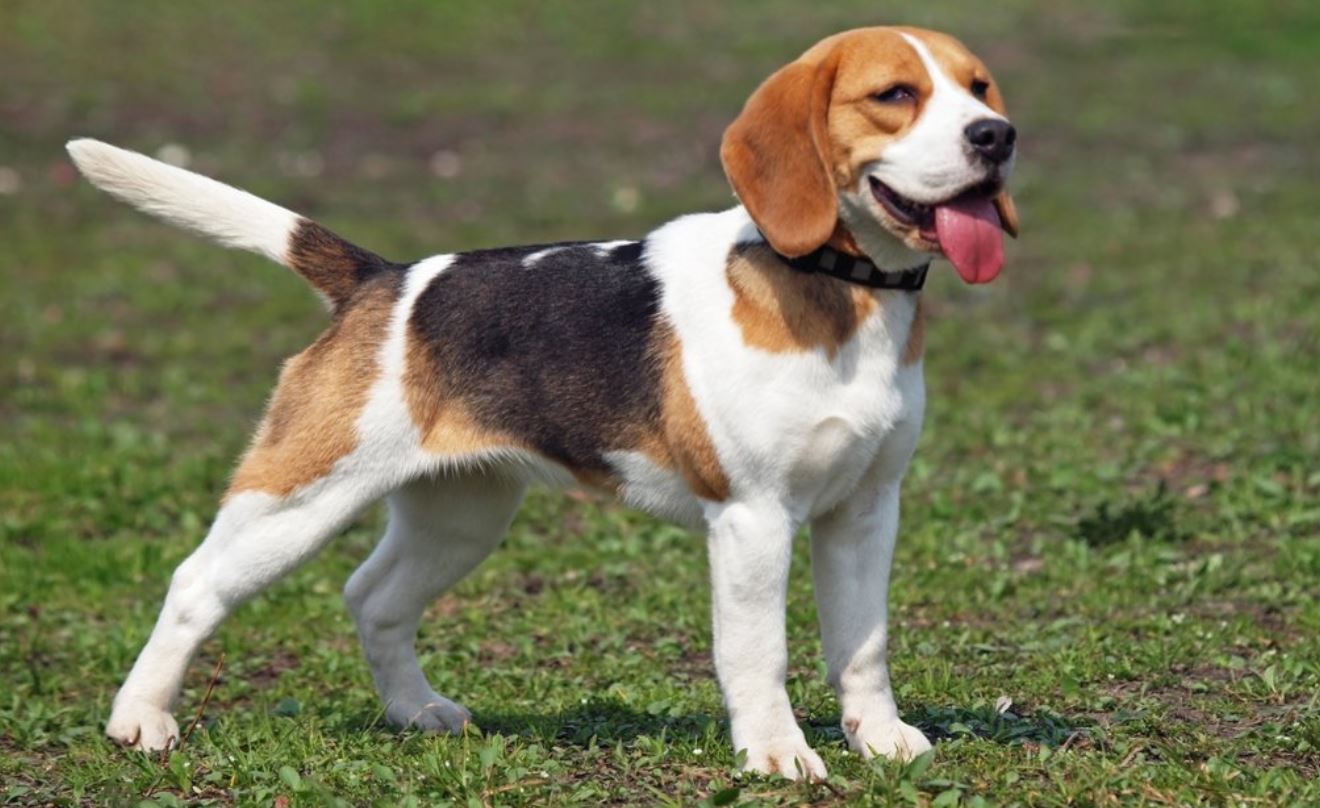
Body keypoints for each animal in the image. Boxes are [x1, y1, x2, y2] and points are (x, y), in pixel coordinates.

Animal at [72, 25, 1013, 781]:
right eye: (895, 96)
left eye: (979, 87)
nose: (996, 137)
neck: (838, 286)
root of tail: (381, 279)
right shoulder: (753, 517)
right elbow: (759, 654)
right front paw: (779, 755)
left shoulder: (865, 509)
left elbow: (863, 644)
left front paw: (880, 740)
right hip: (298, 497)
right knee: (196, 585)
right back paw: (140, 720)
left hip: (462, 514)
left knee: (372, 596)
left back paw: (415, 710)